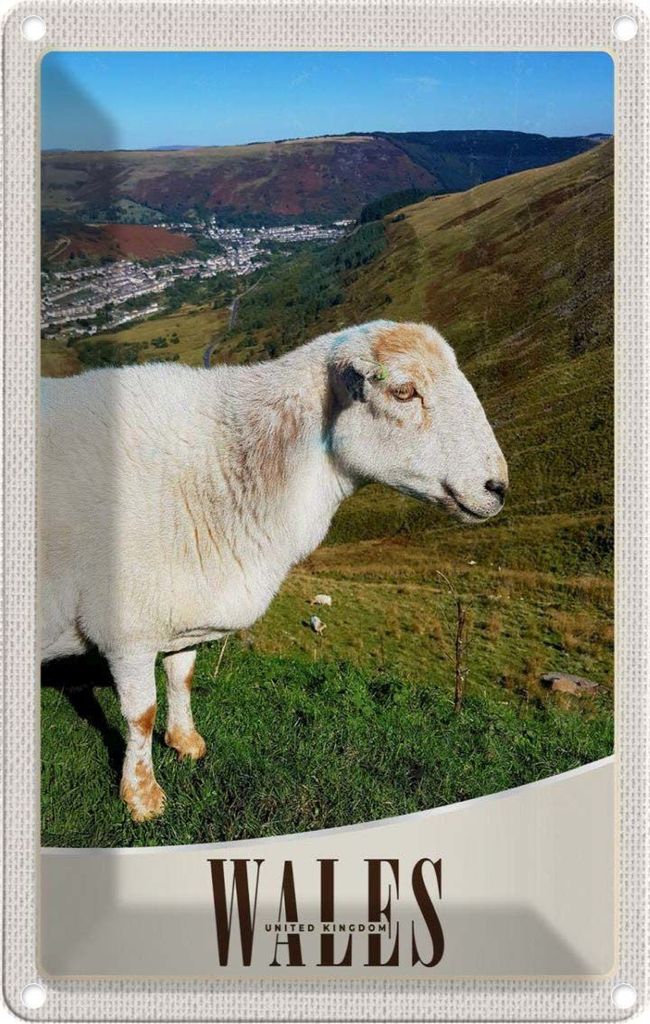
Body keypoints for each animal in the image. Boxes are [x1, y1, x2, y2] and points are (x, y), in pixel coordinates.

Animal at [40, 320, 507, 821]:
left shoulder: (182, 611)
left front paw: (186, 742)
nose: (498, 487)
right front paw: (143, 797)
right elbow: (140, 715)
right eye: (404, 391)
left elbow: (182, 678)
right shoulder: (128, 629)